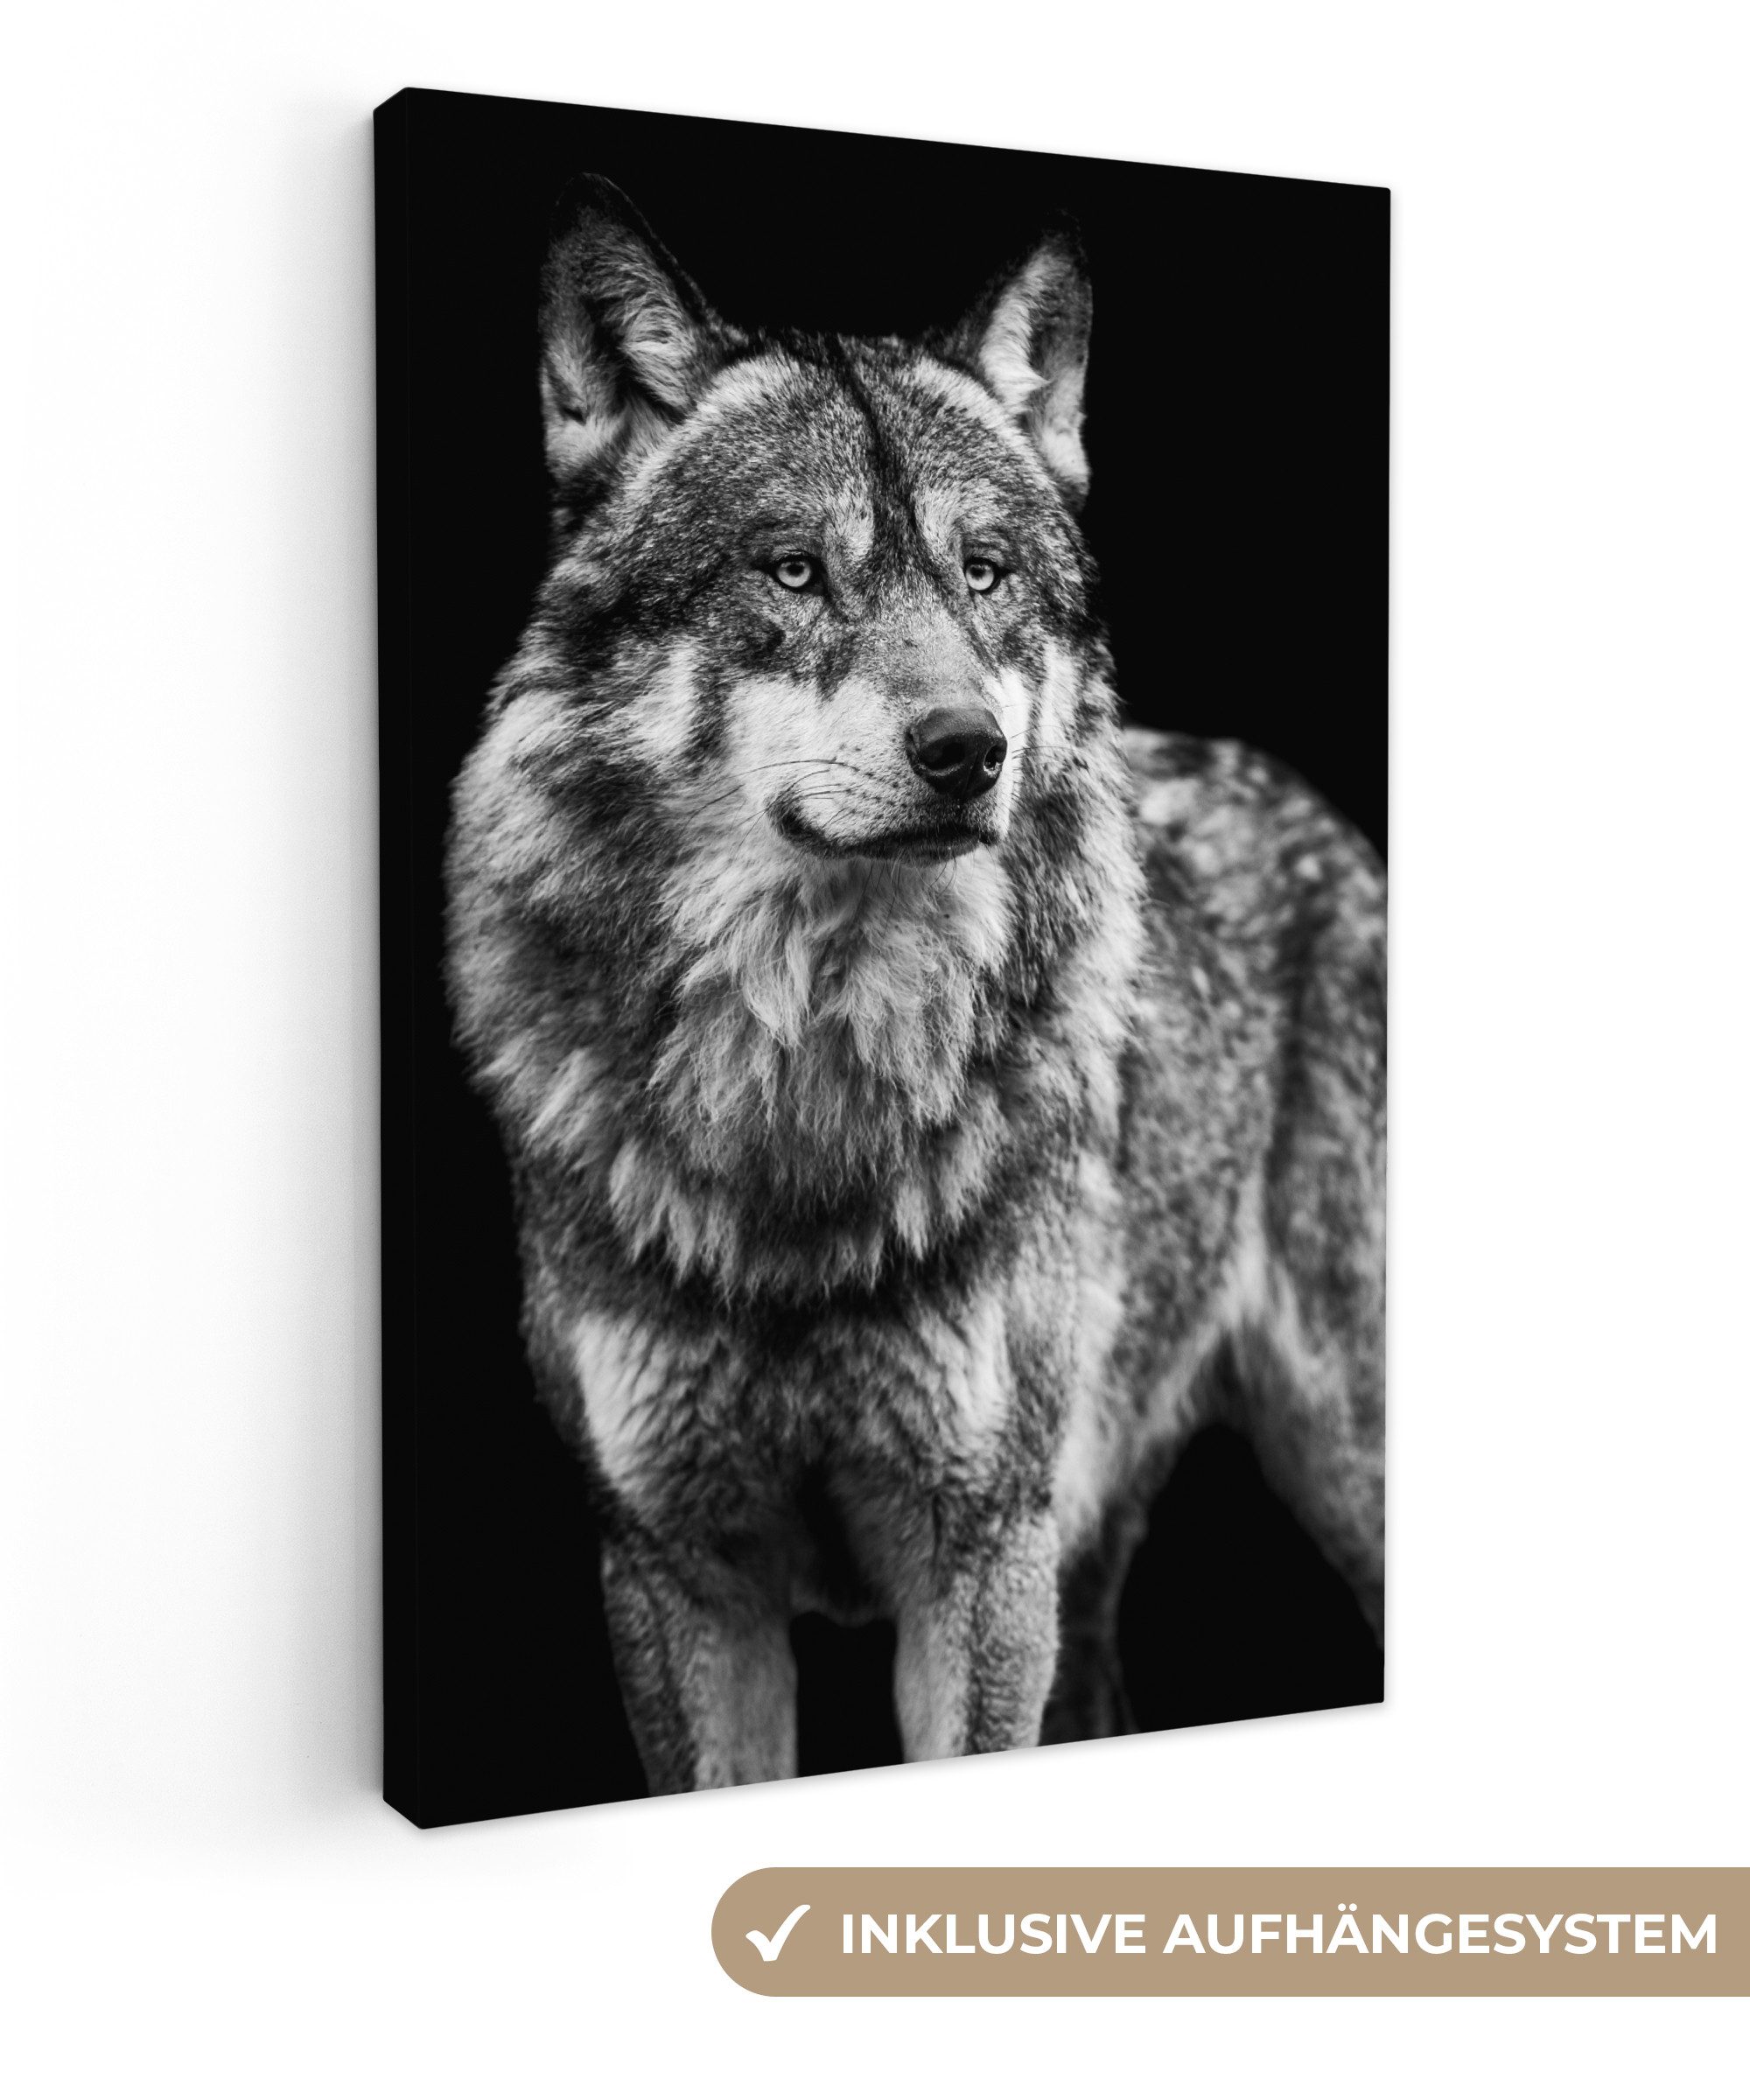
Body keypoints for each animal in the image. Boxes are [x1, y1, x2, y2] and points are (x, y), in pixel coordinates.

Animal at [445, 176, 1385, 1792]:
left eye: (983, 573)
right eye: (794, 569)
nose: (967, 752)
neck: (809, 1085)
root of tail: (1316, 811)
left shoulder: (980, 1560)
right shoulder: (676, 1576)